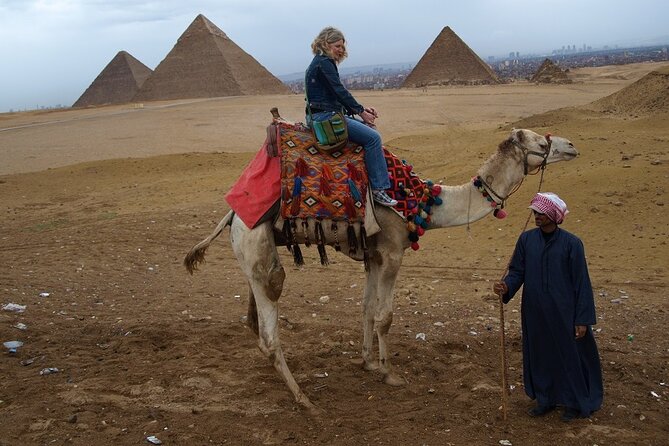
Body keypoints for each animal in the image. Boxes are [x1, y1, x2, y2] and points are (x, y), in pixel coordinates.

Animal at [184, 128, 579, 413]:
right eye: (540, 141)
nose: (572, 145)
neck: (422, 203)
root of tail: (232, 215)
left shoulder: (373, 257)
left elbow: (366, 309)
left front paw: (368, 363)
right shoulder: (391, 252)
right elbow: (385, 316)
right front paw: (390, 373)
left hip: (252, 251)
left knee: (255, 316)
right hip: (257, 245)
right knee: (270, 318)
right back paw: (304, 400)